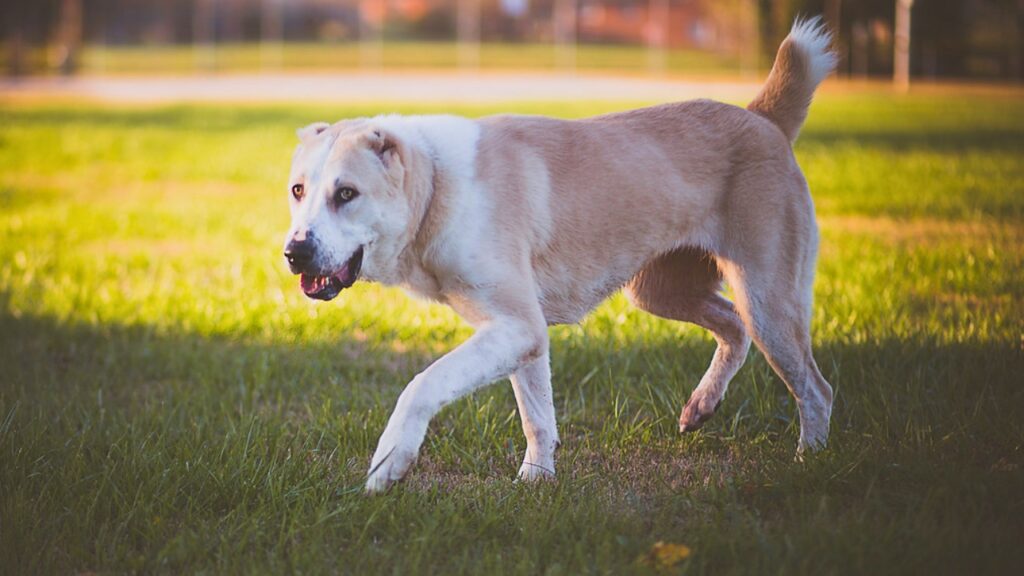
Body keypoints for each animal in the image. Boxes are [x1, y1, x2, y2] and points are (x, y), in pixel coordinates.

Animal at [282, 20, 839, 491]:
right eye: (297, 190)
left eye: (347, 194)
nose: (294, 252)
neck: (437, 187)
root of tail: (761, 118)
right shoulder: (523, 335)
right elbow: (537, 416)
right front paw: (537, 479)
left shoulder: (517, 326)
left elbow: (423, 384)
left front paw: (389, 463)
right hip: (660, 291)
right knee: (733, 328)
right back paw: (702, 405)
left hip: (767, 298)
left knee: (815, 388)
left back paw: (808, 463)